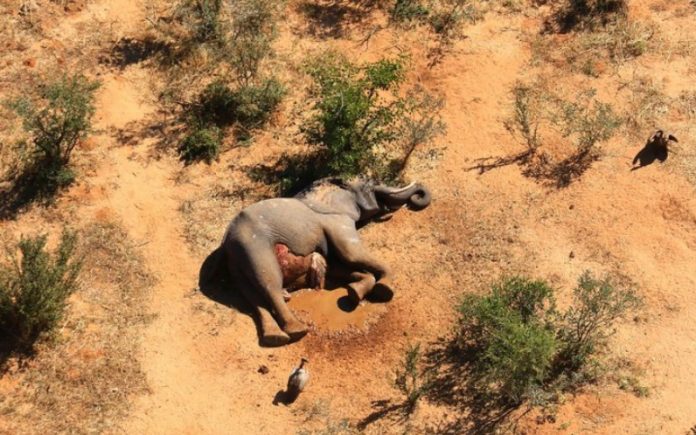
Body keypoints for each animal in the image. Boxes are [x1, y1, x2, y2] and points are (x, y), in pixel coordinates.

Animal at [209, 177, 431, 346]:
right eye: (371, 184)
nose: (416, 195)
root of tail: (225, 242)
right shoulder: (336, 220)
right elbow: (351, 253)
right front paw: (385, 289)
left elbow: (337, 265)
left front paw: (355, 292)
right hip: (253, 246)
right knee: (270, 285)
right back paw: (298, 330)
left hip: (237, 260)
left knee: (252, 297)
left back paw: (275, 338)